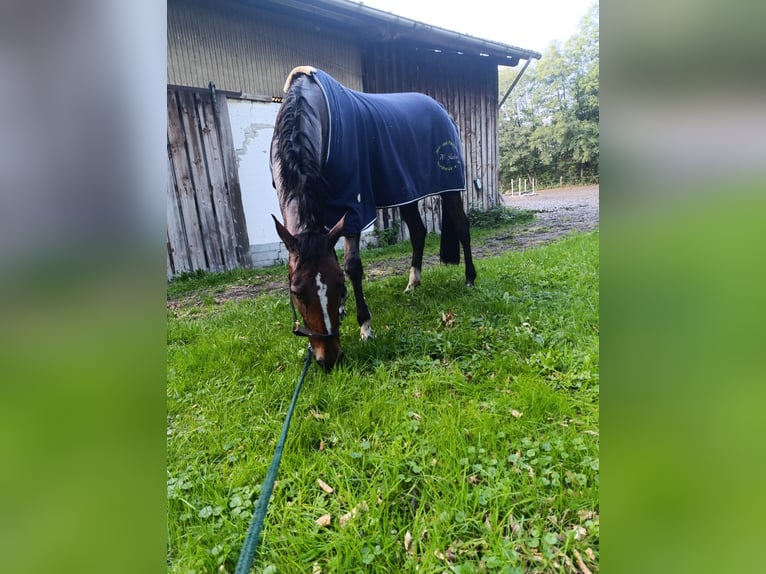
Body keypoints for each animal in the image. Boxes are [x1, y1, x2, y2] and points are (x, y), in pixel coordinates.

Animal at [271, 66, 476, 369]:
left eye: (338, 283)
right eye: (296, 291)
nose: (329, 359)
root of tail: (443, 111)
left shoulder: (354, 204)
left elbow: (353, 265)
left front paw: (365, 326)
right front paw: (344, 308)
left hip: (449, 188)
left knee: (462, 227)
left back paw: (470, 279)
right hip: (406, 192)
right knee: (418, 232)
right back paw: (412, 284)